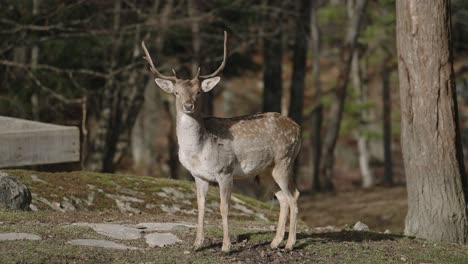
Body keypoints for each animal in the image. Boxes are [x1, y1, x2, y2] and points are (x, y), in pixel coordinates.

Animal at [143, 32, 302, 253]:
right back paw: (274, 242)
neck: (197, 151)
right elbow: (200, 207)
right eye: (176, 92)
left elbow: (223, 207)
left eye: (198, 92)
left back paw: (289, 244)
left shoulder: (225, 170)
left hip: (284, 159)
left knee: (294, 195)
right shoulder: (198, 175)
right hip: (266, 170)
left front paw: (226, 246)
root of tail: (298, 128)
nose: (188, 105)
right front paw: (197, 244)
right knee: (282, 198)